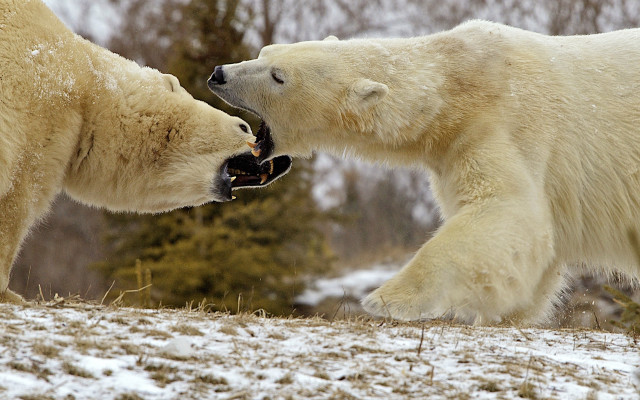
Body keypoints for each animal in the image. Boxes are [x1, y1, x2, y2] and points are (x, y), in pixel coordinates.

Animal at [0, 0, 291, 303]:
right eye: (244, 126)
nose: (282, 159)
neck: (86, 87)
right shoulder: (42, 107)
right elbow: (20, 193)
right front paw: (9, 292)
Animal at [208, 20, 640, 325]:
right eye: (264, 51)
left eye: (278, 76)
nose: (219, 73)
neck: (458, 82)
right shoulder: (451, 149)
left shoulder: (511, 124)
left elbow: (508, 209)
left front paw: (385, 299)